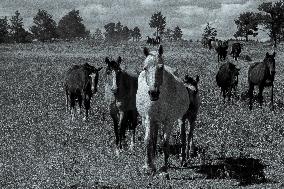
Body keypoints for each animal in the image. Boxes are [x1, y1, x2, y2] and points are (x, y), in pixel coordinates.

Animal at [136, 45, 200, 174]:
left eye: (161, 67)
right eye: (145, 68)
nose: (153, 93)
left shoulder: (169, 121)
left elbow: (165, 143)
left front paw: (164, 168)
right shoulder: (149, 118)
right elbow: (148, 140)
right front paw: (148, 166)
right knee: (154, 137)